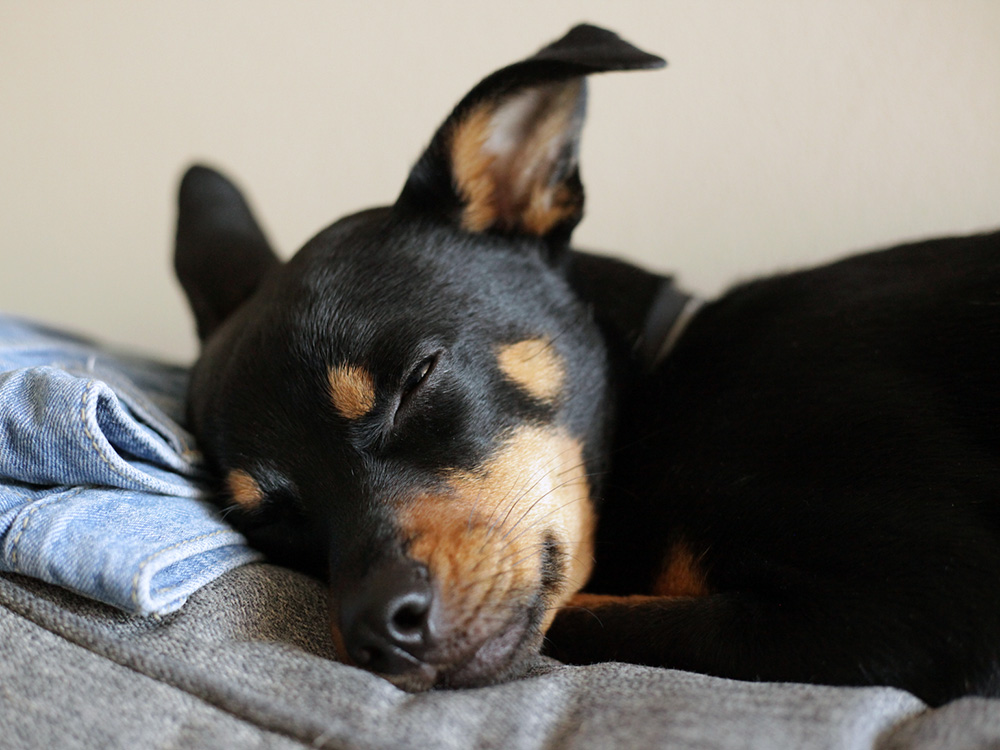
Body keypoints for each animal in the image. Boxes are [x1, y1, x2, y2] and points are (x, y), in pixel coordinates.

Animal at [176, 23, 1000, 704]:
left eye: (416, 381)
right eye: (268, 521)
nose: (376, 630)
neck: (663, 391)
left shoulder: (929, 608)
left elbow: (582, 618)